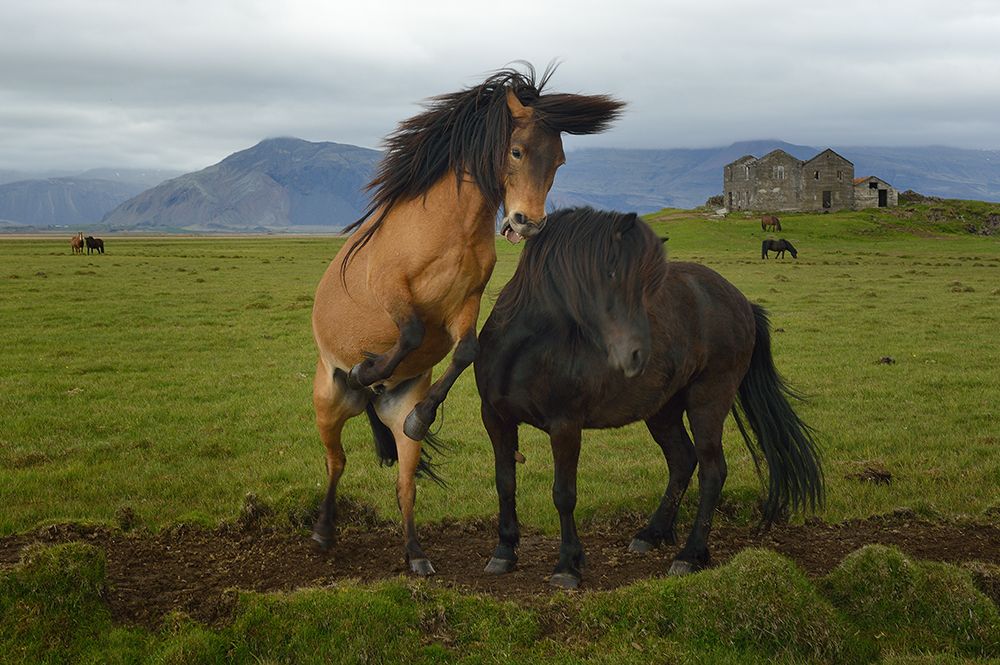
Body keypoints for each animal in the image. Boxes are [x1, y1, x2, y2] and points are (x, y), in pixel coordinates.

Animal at [312, 62, 624, 572]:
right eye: (516, 151)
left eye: (558, 161)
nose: (525, 223)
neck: (446, 227)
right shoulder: (392, 289)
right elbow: (410, 331)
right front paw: (366, 367)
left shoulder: (466, 303)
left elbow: (465, 352)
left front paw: (423, 414)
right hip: (327, 405)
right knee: (336, 463)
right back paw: (322, 529)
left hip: (395, 416)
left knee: (405, 484)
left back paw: (416, 555)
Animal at [474, 206, 820, 588]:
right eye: (613, 276)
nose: (636, 353)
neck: (526, 345)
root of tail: (741, 301)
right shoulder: (496, 419)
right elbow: (505, 483)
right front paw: (504, 550)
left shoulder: (565, 426)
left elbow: (563, 494)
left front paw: (567, 564)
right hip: (662, 410)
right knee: (683, 460)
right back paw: (652, 533)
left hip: (709, 401)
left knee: (712, 470)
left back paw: (690, 554)